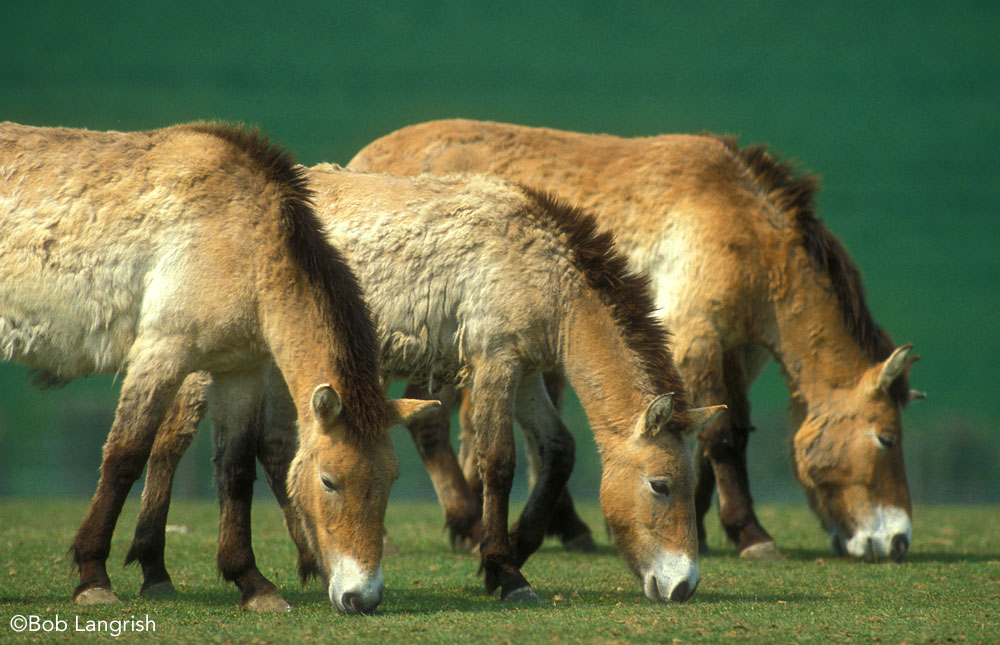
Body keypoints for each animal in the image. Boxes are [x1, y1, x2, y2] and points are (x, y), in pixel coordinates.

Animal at [0, 122, 434, 612]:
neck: (242, 240)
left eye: (391, 478)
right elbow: (125, 456)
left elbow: (236, 469)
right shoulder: (161, 353)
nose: (362, 597)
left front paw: (253, 583)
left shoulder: (239, 372)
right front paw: (94, 577)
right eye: (329, 480)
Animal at [129, 162, 724, 604]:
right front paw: (506, 571)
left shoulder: (528, 371)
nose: (683, 586)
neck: (543, 270)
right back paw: (155, 568)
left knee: (276, 451)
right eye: (661, 485)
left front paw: (517, 547)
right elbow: (499, 461)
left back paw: (309, 560)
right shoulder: (496, 361)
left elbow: (559, 449)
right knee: (170, 443)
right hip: (217, 362)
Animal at [350, 118, 920, 560]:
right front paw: (752, 535)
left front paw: (701, 526)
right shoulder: (697, 339)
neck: (740, 225)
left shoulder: (739, 352)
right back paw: (460, 527)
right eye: (886, 439)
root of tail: (363, 159)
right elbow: (722, 436)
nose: (896, 541)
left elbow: (719, 432)